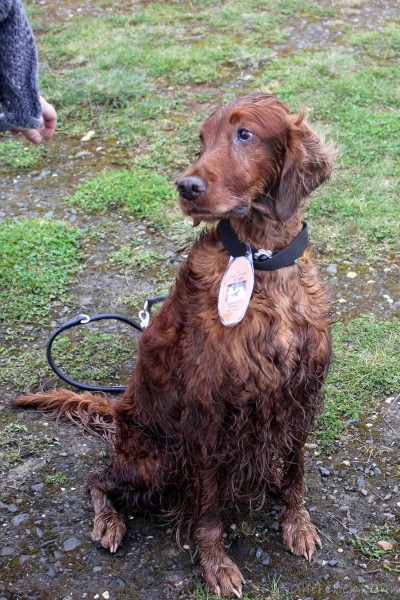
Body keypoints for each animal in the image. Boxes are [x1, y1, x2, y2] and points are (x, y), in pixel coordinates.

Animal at [13, 92, 333, 598]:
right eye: (202, 138)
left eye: (245, 134)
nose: (187, 186)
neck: (260, 261)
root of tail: (118, 408)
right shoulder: (208, 415)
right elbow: (208, 510)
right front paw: (216, 563)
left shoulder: (300, 394)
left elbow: (296, 470)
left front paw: (296, 523)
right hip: (154, 461)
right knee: (97, 479)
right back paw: (108, 522)